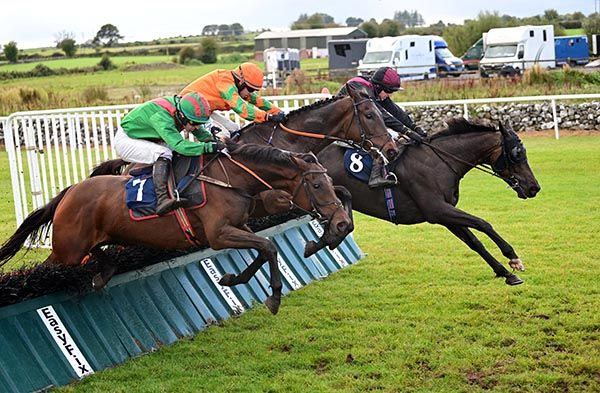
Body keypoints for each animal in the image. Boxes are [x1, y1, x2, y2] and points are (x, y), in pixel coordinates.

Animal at [0, 142, 352, 314]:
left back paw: (103, 273)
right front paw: (274, 297)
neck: (232, 179)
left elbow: (263, 249)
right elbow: (269, 246)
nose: (342, 223)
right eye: (318, 185)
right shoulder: (218, 234)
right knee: (46, 272)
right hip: (67, 250)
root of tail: (69, 192)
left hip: (86, 244)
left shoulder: (240, 225)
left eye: (329, 183)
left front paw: (233, 278)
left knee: (99, 258)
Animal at [312, 117, 540, 284]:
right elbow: (483, 223)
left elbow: (474, 242)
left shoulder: (445, 213)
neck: (440, 161)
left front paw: (505, 273)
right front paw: (512, 257)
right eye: (517, 153)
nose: (534, 187)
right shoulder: (437, 210)